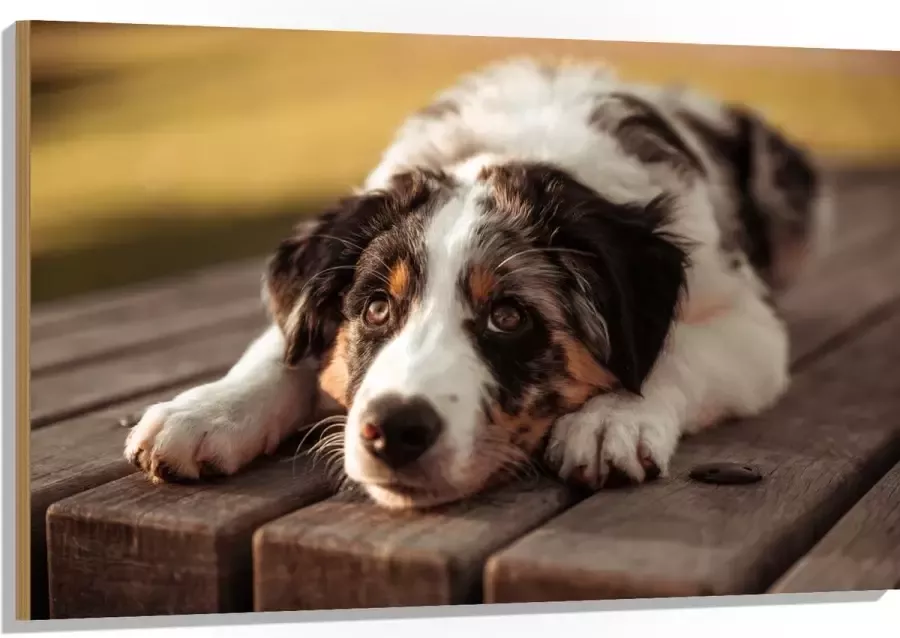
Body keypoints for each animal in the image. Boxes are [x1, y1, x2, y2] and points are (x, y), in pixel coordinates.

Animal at [123, 57, 832, 512]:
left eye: (509, 317)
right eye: (375, 308)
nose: (393, 431)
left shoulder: (750, 324)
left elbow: (673, 351)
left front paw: (613, 419)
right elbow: (281, 347)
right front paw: (204, 412)